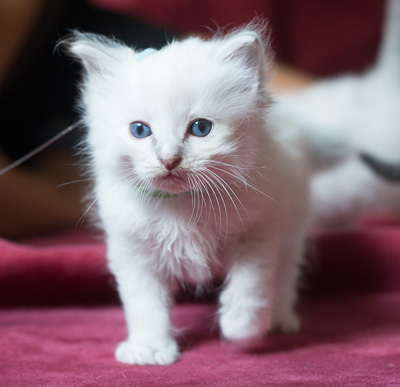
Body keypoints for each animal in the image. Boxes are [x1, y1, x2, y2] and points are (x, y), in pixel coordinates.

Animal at [66, 25, 310, 366]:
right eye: (140, 130)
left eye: (201, 128)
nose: (169, 160)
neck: (181, 206)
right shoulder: (131, 250)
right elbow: (144, 303)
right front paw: (149, 349)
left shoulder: (260, 231)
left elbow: (251, 284)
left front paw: (241, 327)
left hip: (292, 225)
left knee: (285, 274)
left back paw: (279, 319)